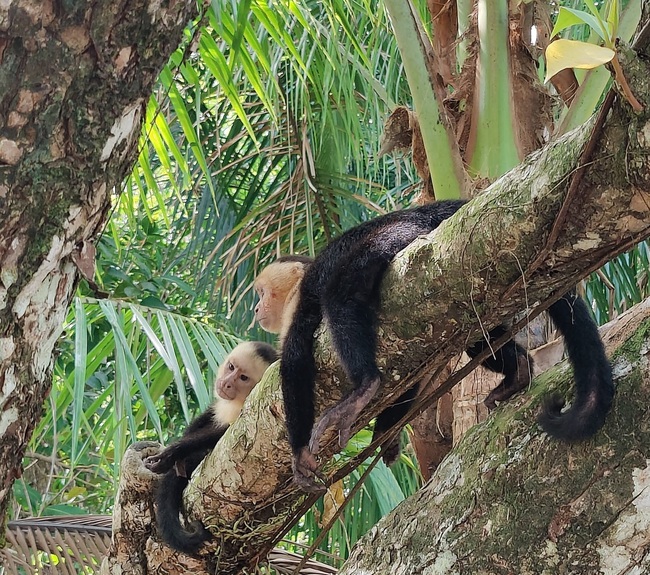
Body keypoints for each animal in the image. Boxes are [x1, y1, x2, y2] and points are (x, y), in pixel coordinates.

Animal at [144, 344, 276, 556]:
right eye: (231, 367)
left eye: (243, 378)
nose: (227, 383)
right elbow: (205, 419)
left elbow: (218, 436)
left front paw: (174, 453)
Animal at [251, 200, 612, 492]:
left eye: (263, 293)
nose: (255, 309)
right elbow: (411, 374)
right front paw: (387, 434)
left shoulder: (300, 303)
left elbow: (296, 359)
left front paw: (299, 454)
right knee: (478, 341)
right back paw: (518, 374)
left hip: (400, 238)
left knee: (341, 297)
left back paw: (364, 386)